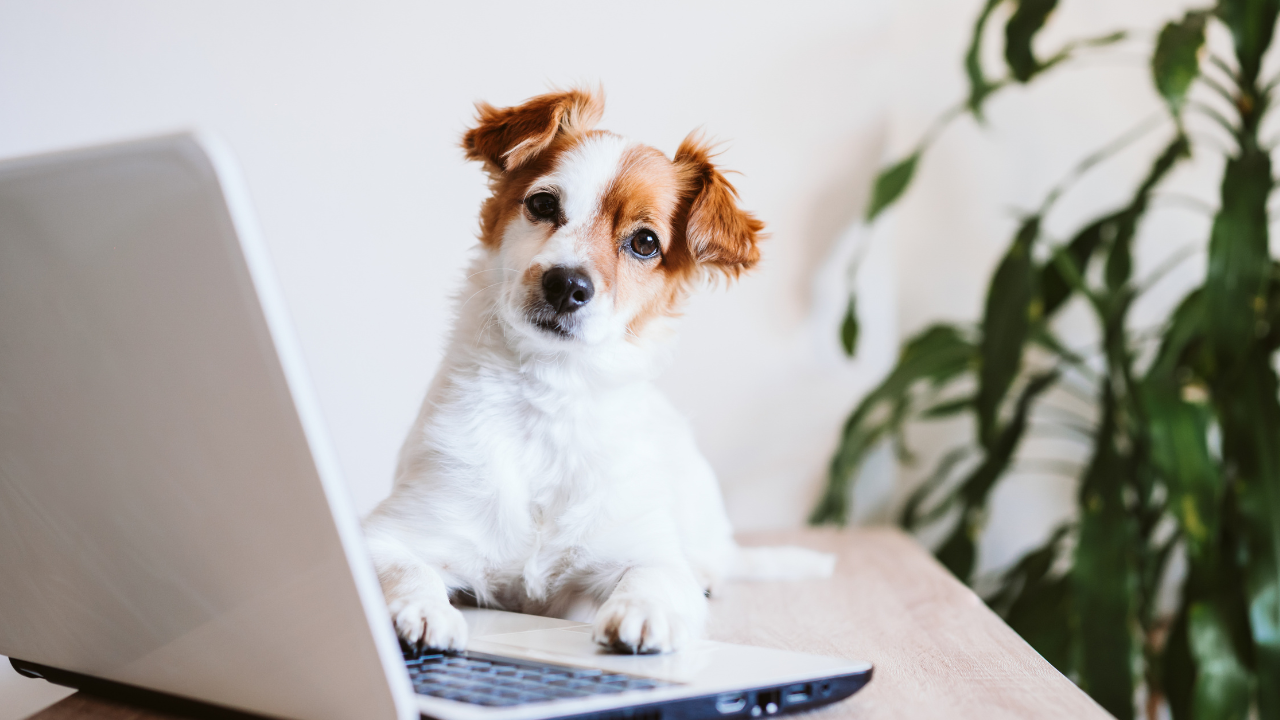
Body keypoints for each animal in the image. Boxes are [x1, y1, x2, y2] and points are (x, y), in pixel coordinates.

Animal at [363, 87, 839, 653]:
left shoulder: (645, 549)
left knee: (713, 559)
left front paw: (643, 611)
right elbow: (404, 568)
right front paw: (424, 609)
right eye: (543, 204)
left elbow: (655, 575)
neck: (551, 396)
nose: (566, 284)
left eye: (645, 243)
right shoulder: (390, 531)